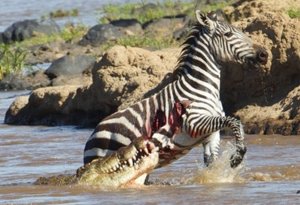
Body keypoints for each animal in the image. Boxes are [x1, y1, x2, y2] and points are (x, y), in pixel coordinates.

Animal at [83, 10, 268, 183]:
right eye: (228, 34)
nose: (264, 54)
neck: (202, 88)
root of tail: (94, 132)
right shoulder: (194, 123)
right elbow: (235, 121)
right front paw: (238, 157)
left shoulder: (211, 135)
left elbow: (212, 162)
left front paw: (214, 180)